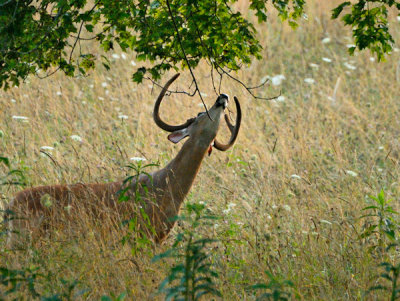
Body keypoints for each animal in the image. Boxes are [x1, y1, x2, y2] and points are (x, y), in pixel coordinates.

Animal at [5, 72, 241, 244]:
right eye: (200, 113)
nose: (223, 96)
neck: (166, 189)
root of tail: (9, 207)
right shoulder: (140, 231)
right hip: (23, 238)